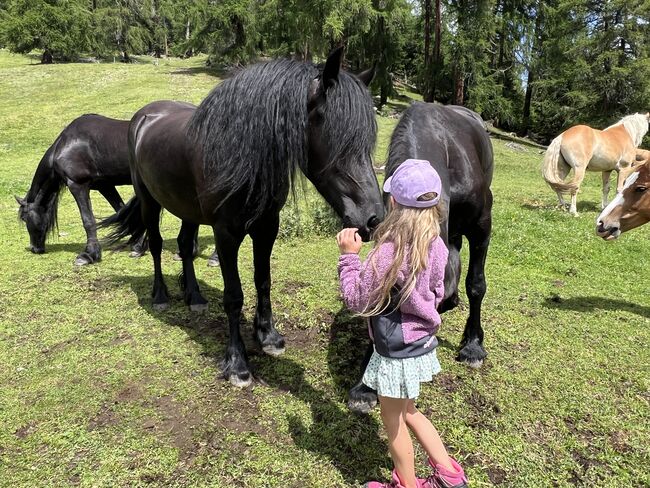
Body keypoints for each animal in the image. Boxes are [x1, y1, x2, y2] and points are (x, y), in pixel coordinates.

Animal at [102, 48, 382, 386]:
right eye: (338, 139)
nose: (373, 219)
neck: (244, 154)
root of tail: (144, 116)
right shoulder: (226, 235)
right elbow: (233, 296)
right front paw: (237, 362)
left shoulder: (267, 228)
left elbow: (263, 279)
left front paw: (268, 336)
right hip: (149, 200)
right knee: (155, 244)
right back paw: (160, 295)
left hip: (187, 208)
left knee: (184, 245)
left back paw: (194, 297)